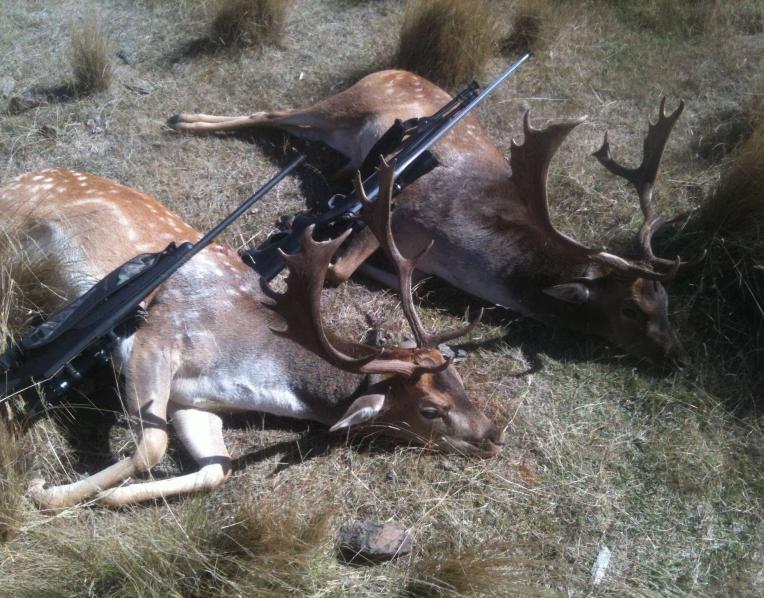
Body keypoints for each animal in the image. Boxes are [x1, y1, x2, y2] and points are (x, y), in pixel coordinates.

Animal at [0, 159, 504, 510]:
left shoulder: (193, 401)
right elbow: (152, 447)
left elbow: (217, 468)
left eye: (459, 382)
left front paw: (109, 497)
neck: (250, 372)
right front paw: (44, 490)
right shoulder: (155, 338)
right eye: (430, 410)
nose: (493, 435)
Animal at [169, 70, 700, 367]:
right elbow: (339, 269)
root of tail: (393, 67)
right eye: (631, 309)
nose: (677, 356)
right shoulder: (399, 206)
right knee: (270, 111)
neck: (467, 256)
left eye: (666, 301)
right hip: (344, 105)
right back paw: (182, 120)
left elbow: (409, 283)